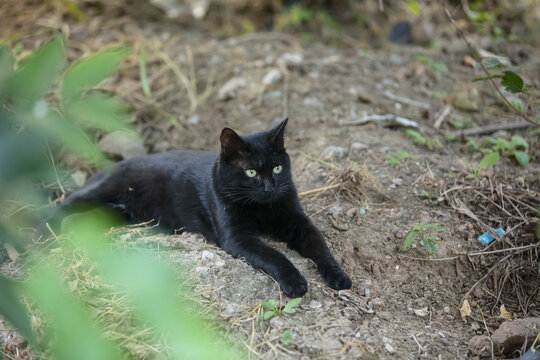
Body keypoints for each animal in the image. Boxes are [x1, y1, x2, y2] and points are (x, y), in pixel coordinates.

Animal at [48, 119, 352, 296]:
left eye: (277, 168)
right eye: (251, 172)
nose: (269, 188)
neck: (261, 209)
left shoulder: (296, 220)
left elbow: (319, 245)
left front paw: (339, 276)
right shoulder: (237, 237)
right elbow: (274, 255)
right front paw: (295, 282)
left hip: (117, 211)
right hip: (100, 192)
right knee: (61, 206)